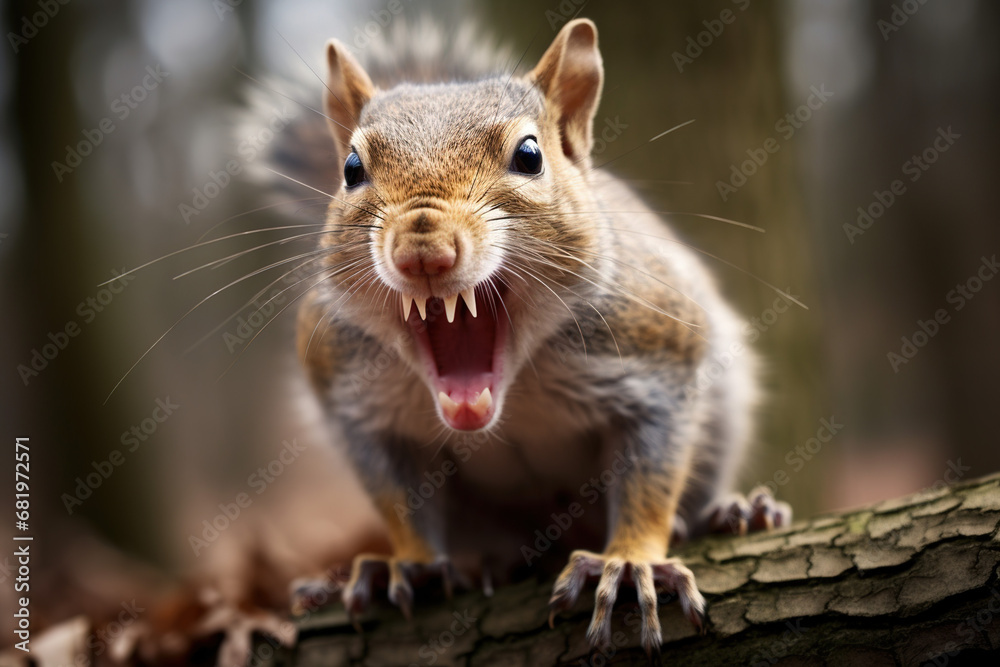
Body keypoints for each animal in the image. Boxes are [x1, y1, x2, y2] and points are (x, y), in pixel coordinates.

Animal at [281, 18, 792, 655]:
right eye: (351, 169)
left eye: (529, 156)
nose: (423, 247)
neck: (511, 392)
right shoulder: (352, 400)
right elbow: (396, 497)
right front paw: (408, 563)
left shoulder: (658, 359)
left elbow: (652, 477)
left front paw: (630, 562)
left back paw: (734, 513)